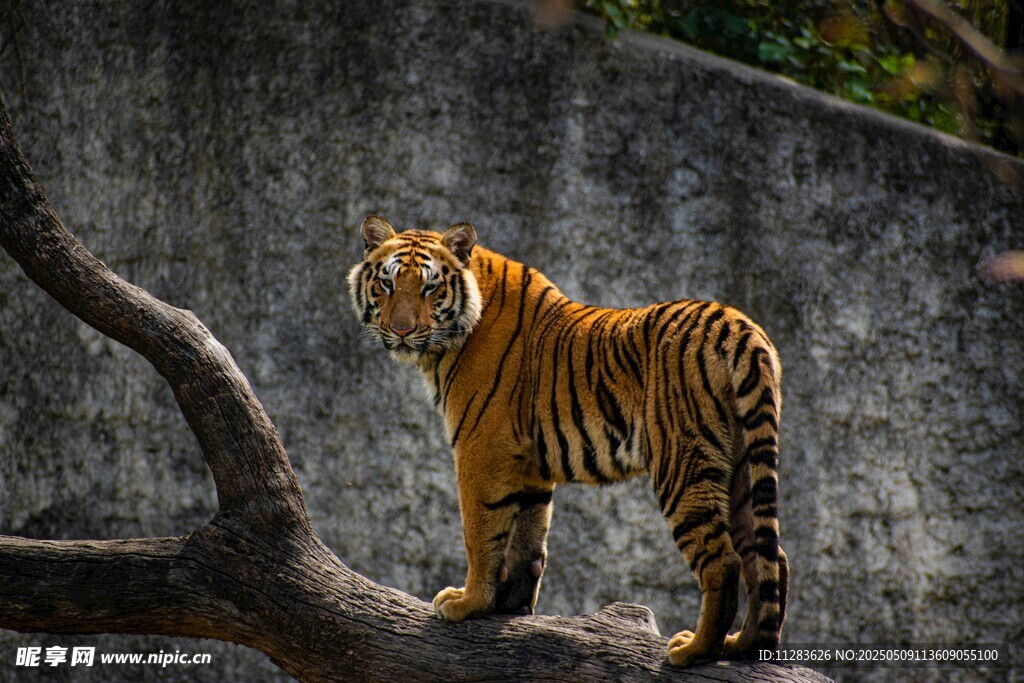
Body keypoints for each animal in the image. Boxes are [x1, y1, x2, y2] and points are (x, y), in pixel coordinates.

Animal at [347, 215, 788, 666]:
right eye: (387, 284)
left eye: (430, 288)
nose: (401, 330)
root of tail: (739, 326)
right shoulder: (527, 463)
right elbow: (527, 537)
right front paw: (509, 605)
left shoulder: (480, 447)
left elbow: (481, 531)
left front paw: (468, 603)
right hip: (741, 465)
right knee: (768, 557)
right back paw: (742, 645)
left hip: (682, 463)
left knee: (724, 560)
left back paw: (693, 650)